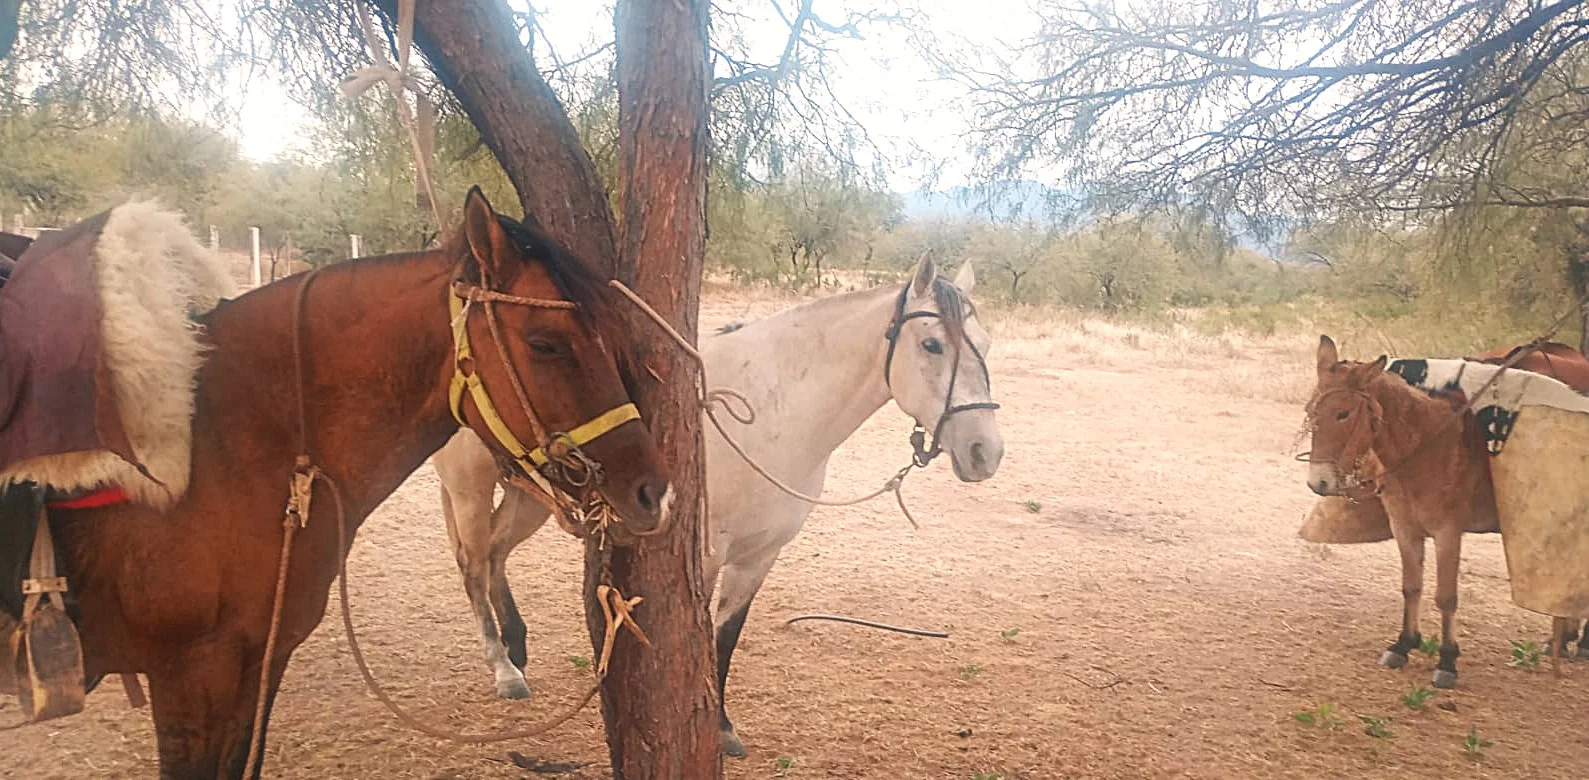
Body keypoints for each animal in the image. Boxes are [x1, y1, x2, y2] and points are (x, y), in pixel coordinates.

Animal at [431, 254, 1004, 757]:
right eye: (932, 344)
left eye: (985, 344)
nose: (985, 452)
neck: (775, 413)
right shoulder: (704, 555)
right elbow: (697, 639)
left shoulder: (759, 557)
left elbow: (726, 636)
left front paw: (723, 729)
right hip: (470, 488)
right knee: (474, 565)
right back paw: (503, 667)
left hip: (528, 495)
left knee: (496, 552)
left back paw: (517, 647)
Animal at [1304, 335, 1589, 688]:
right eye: (1310, 410)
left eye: (1343, 414)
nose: (1319, 482)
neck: (1427, 445)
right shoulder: (1404, 528)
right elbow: (1411, 587)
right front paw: (1403, 644)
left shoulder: (1448, 532)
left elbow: (1446, 597)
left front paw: (1447, 660)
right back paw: (1563, 639)